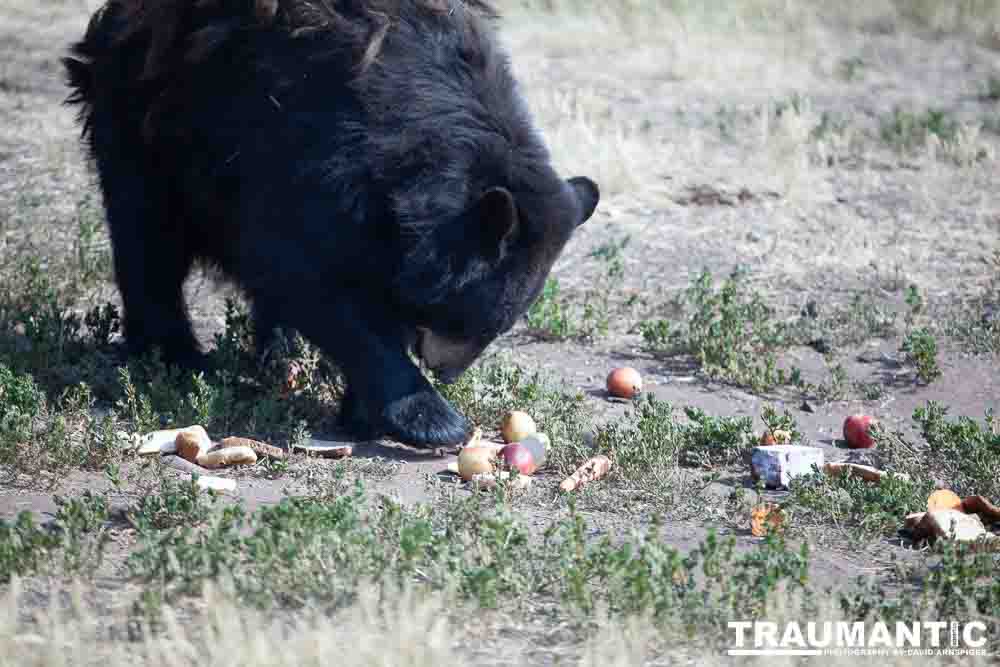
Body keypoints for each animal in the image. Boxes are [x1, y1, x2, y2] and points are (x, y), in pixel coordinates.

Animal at [62, 0, 599, 448]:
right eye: (475, 320)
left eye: (495, 326)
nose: (446, 369)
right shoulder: (296, 156)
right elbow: (299, 271)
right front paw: (432, 419)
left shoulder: (380, 219)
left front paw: (363, 411)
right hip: (148, 124)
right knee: (147, 240)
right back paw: (175, 356)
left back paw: (276, 354)